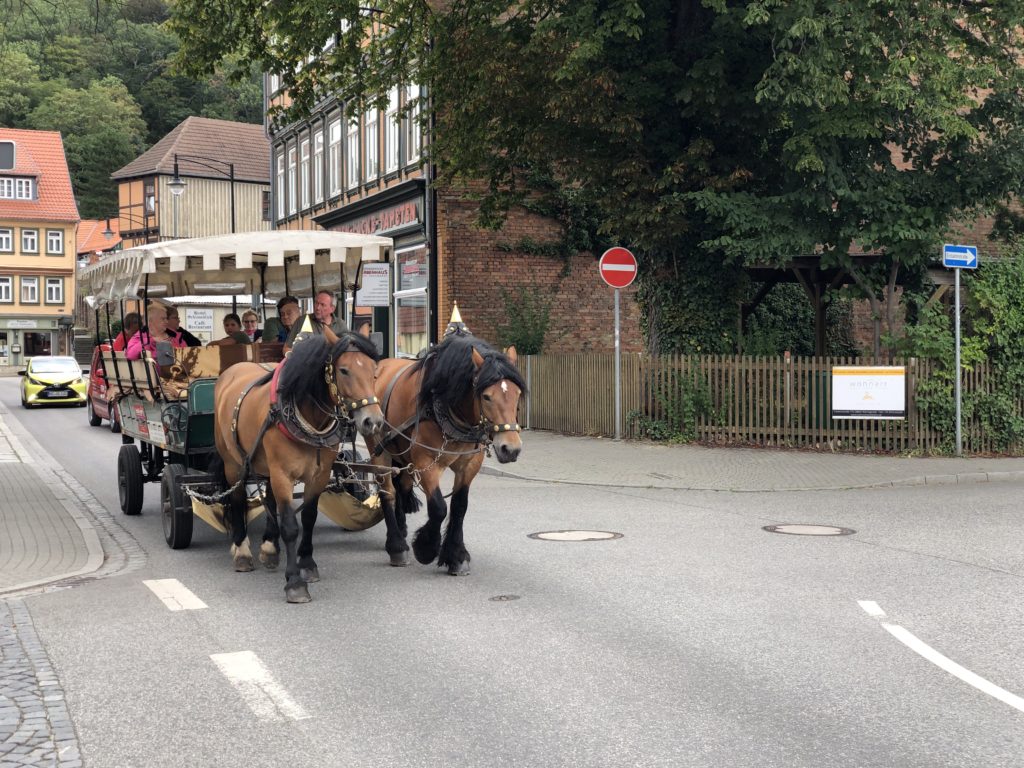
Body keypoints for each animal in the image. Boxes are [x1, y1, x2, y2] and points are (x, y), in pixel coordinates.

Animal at [211, 333, 385, 606]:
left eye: (373, 372)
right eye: (344, 370)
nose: (373, 421)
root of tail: (231, 370)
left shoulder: (319, 475)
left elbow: (309, 517)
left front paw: (307, 564)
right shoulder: (283, 474)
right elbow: (291, 526)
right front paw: (294, 582)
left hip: (265, 464)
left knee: (270, 499)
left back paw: (270, 547)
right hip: (233, 462)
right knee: (237, 500)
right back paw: (242, 551)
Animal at [366, 331, 524, 577]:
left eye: (517, 393)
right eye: (487, 396)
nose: (511, 449)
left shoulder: (470, 464)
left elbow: (459, 506)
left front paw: (456, 555)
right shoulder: (426, 462)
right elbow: (439, 507)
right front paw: (426, 547)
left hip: (402, 456)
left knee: (401, 487)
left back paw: (401, 529)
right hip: (379, 451)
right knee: (388, 492)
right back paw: (397, 546)